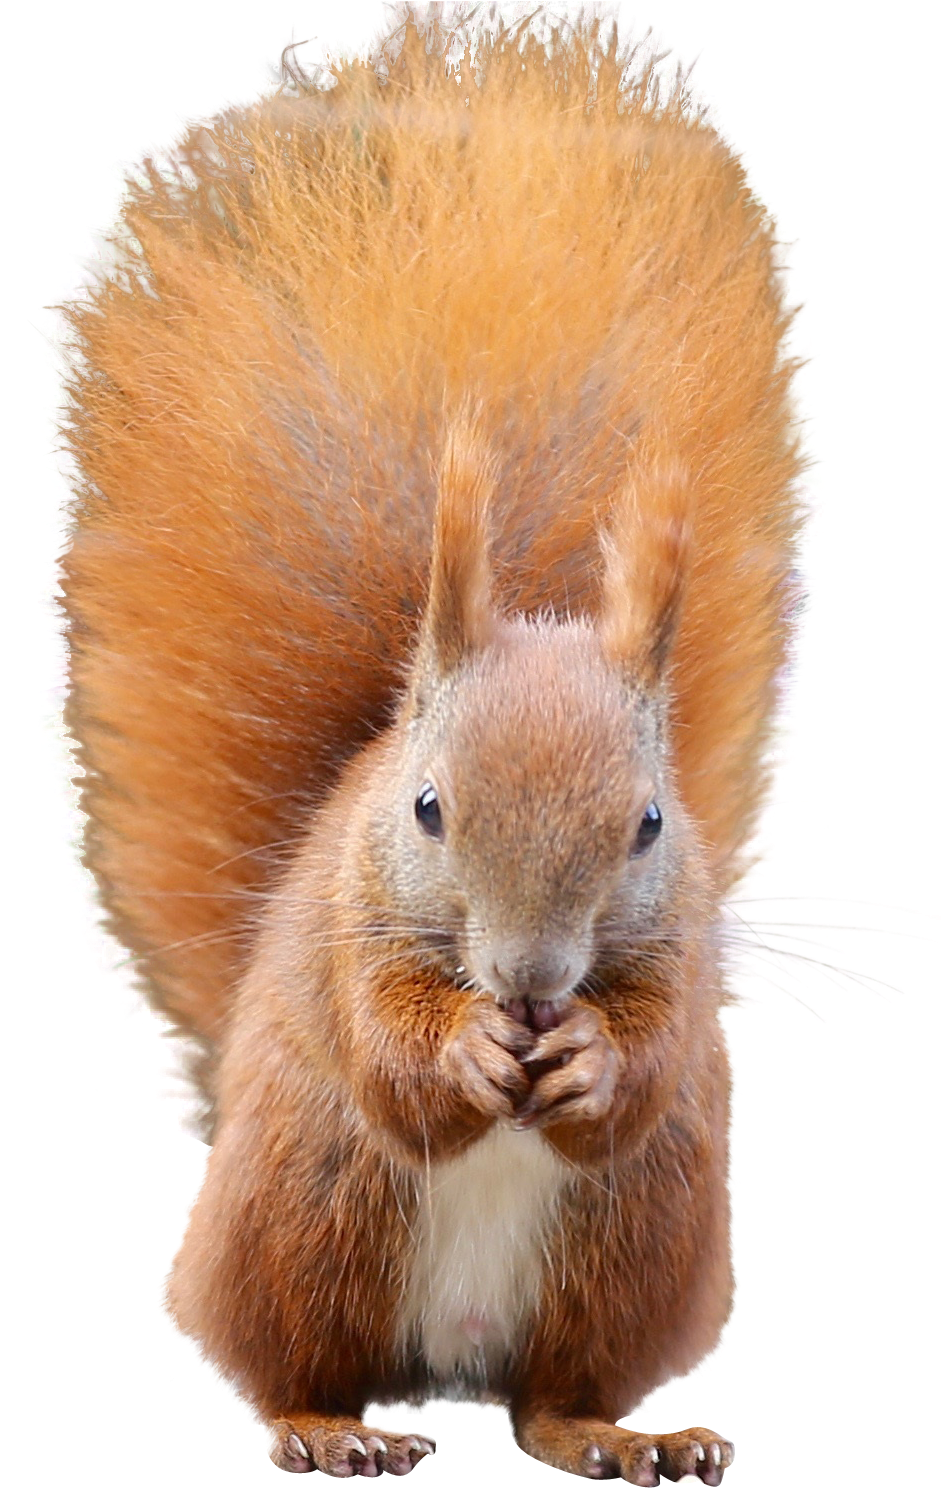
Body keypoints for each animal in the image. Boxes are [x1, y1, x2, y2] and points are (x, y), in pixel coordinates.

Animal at [39, 5, 828, 1483]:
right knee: (279, 1361)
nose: (529, 983)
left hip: (625, 1250)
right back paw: (328, 1431)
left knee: (546, 1402)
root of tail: (445, 1366)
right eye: (424, 810)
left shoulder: (680, 949)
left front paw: (589, 1058)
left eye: (648, 822)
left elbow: (648, 1061)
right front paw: (462, 1054)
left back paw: (621, 1440)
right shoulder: (348, 932)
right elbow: (389, 1051)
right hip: (308, 1219)